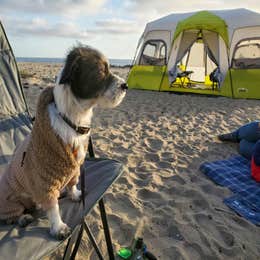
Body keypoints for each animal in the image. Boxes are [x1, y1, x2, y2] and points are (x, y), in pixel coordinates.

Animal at [0, 45, 127, 240]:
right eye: (101, 71)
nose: (125, 85)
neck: (72, 120)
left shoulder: (74, 169)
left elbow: (73, 183)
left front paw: (74, 194)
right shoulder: (45, 182)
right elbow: (53, 208)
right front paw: (58, 227)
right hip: (10, 201)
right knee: (11, 217)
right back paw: (23, 218)